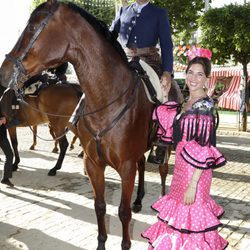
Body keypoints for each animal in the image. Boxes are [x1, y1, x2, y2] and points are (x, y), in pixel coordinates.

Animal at [0, 0, 181, 249]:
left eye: (32, 27)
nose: (3, 72)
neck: (106, 99)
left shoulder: (126, 167)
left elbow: (123, 212)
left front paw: (125, 243)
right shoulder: (94, 164)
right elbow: (100, 206)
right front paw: (101, 242)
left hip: (165, 147)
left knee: (162, 171)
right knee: (143, 164)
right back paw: (139, 199)